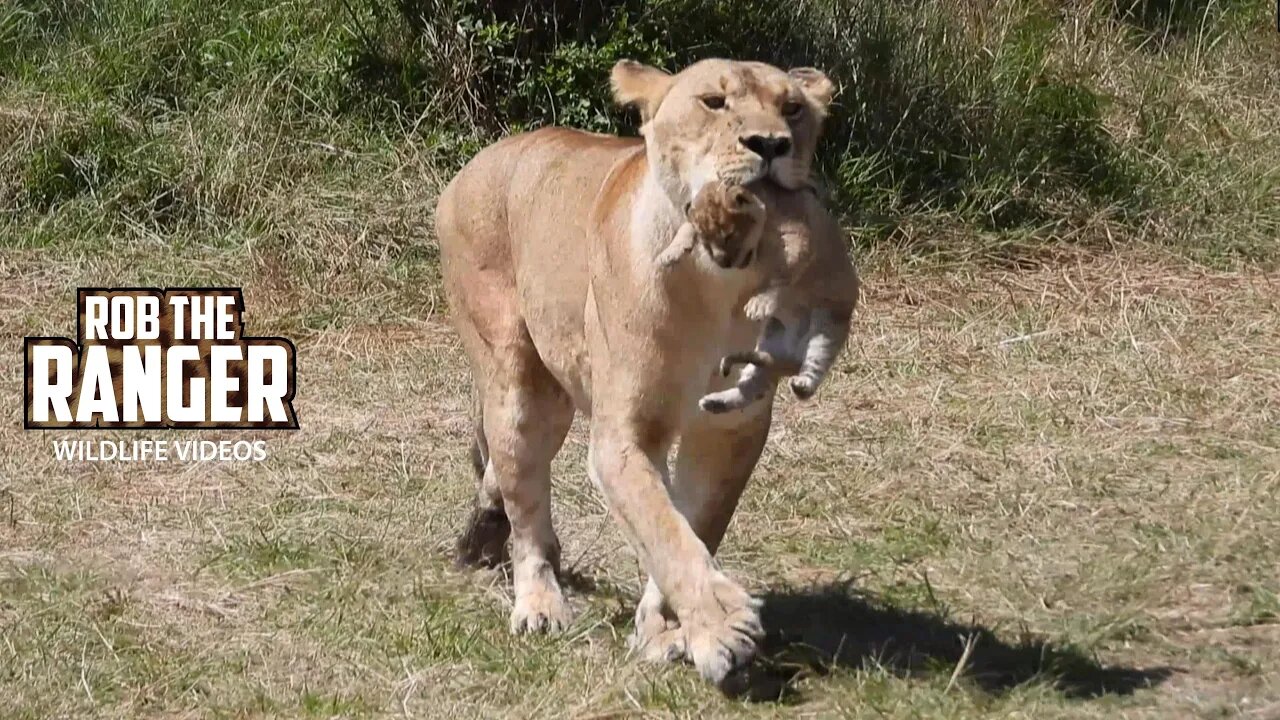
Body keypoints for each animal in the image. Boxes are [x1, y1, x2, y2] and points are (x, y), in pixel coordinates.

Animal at [656, 180, 858, 413]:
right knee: (752, 387)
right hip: (768, 342)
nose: (722, 263)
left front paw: (759, 304)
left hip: (826, 328)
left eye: (729, 236)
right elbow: (685, 227)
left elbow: (782, 273)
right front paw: (669, 254)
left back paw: (801, 385)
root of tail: (789, 358)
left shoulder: (798, 237)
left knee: (812, 369)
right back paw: (713, 403)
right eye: (706, 243)